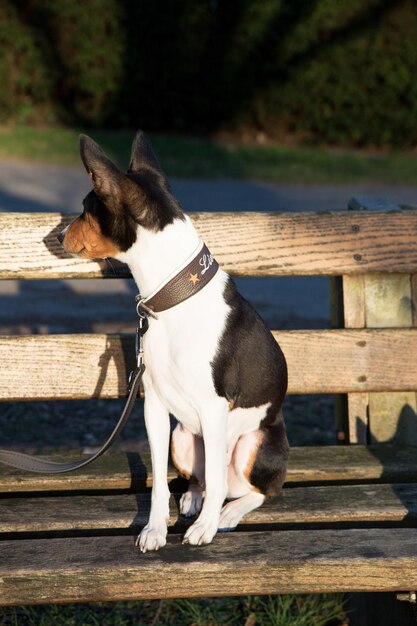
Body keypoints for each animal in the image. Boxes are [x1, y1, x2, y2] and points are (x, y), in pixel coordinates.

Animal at [58, 132, 288, 552]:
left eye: (85, 208)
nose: (58, 235)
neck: (173, 298)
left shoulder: (214, 408)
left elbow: (218, 483)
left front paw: (206, 528)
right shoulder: (154, 407)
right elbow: (158, 487)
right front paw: (154, 529)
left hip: (252, 441)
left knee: (255, 489)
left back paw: (227, 513)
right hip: (182, 436)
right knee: (202, 479)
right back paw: (194, 498)